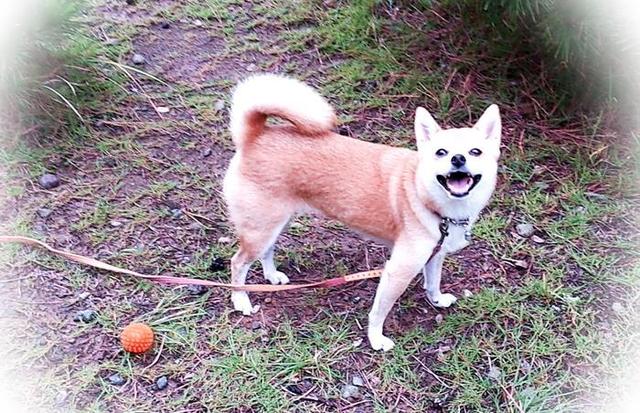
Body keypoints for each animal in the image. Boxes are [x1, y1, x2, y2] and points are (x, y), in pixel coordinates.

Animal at [222, 74, 501, 351]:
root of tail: (254, 135)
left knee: (265, 252)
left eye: (475, 151)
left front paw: (437, 300)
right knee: (238, 262)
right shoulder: (397, 271)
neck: (425, 195)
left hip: (274, 224)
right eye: (440, 152)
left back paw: (271, 276)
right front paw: (376, 339)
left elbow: (432, 282)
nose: (458, 159)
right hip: (261, 229)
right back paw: (241, 300)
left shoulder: (434, 255)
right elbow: (379, 312)